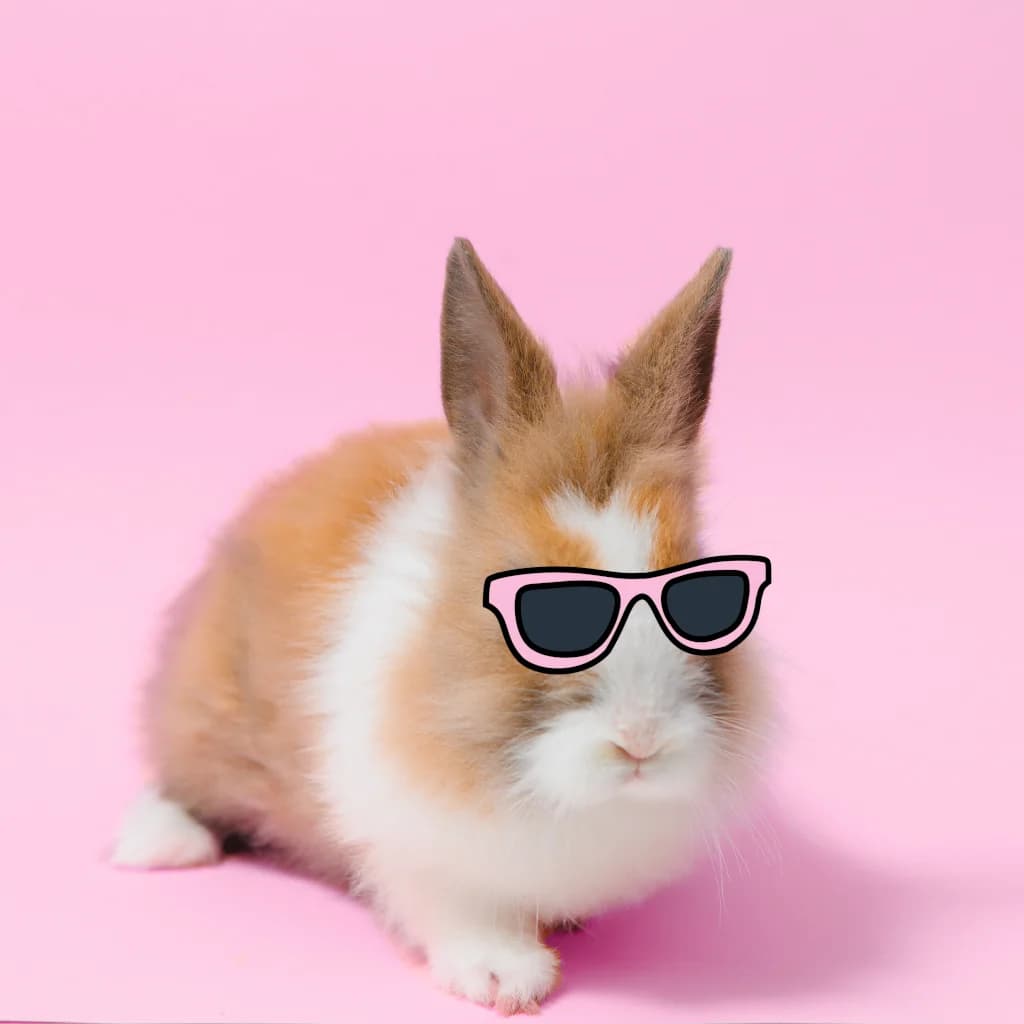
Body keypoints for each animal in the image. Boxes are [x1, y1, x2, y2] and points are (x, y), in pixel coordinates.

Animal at [112, 238, 771, 1014]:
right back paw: (158, 843)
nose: (641, 740)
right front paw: (505, 979)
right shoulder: (408, 845)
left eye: (705, 591)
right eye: (549, 608)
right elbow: (454, 906)